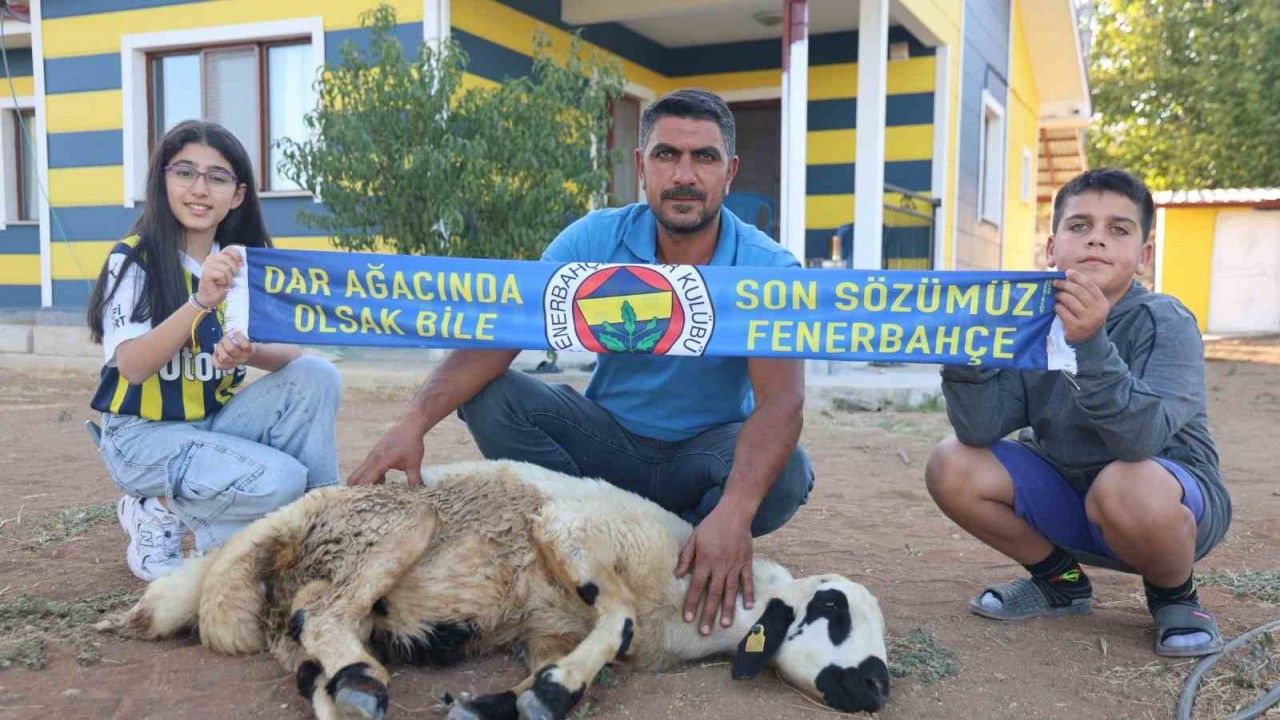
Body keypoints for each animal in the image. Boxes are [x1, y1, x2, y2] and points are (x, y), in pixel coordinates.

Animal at [99, 460, 889, 719]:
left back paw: (356, 685)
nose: (878, 687)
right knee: (326, 618)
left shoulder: (550, 629)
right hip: (397, 521)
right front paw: (543, 695)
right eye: (829, 608)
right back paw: (364, 679)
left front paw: (505, 701)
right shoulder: (571, 530)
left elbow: (582, 666)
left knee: (310, 653)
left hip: (303, 599)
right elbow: (617, 621)